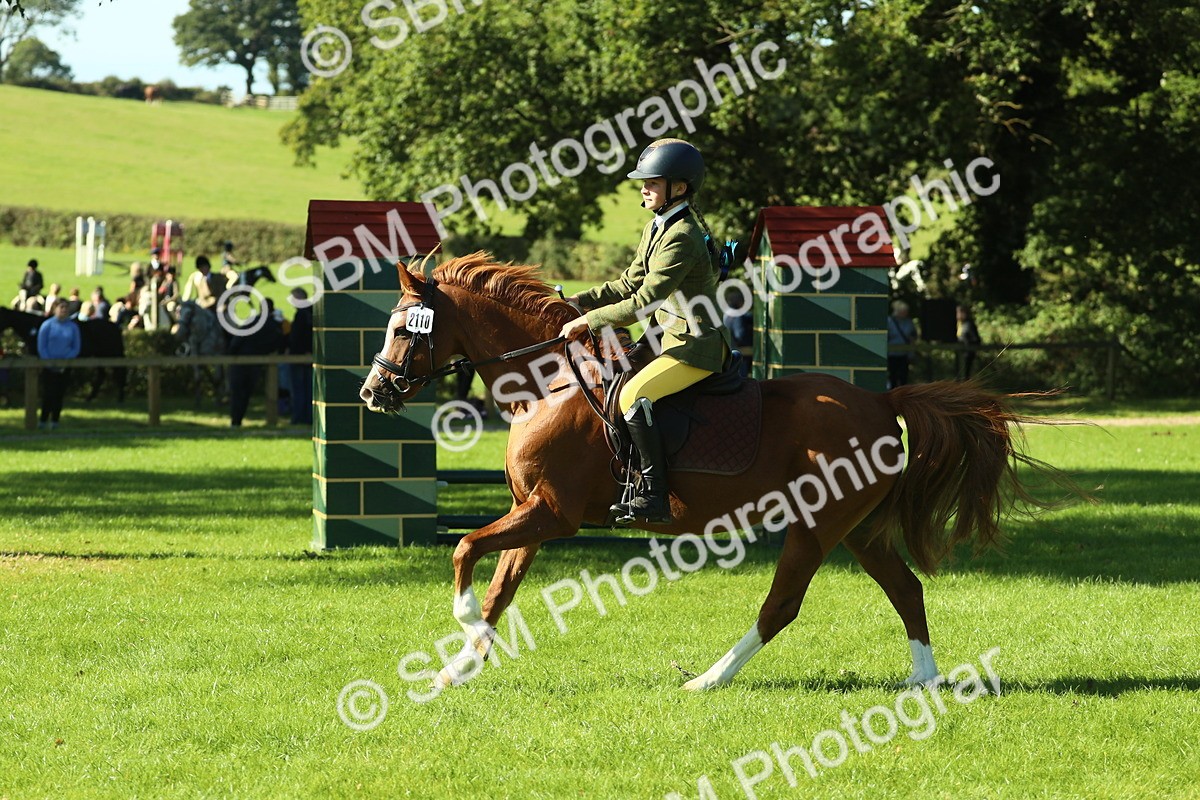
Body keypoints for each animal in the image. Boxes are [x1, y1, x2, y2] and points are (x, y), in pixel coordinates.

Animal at [359, 253, 1081, 692]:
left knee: (783, 605)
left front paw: (464, 635)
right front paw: (459, 668)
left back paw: (709, 679)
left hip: (815, 528)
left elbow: (463, 551)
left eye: (404, 331)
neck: (549, 384)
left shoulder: (551, 515)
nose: (372, 392)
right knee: (905, 589)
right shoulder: (531, 515)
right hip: (857, 528)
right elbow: (497, 589)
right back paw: (924, 679)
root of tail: (880, 401)